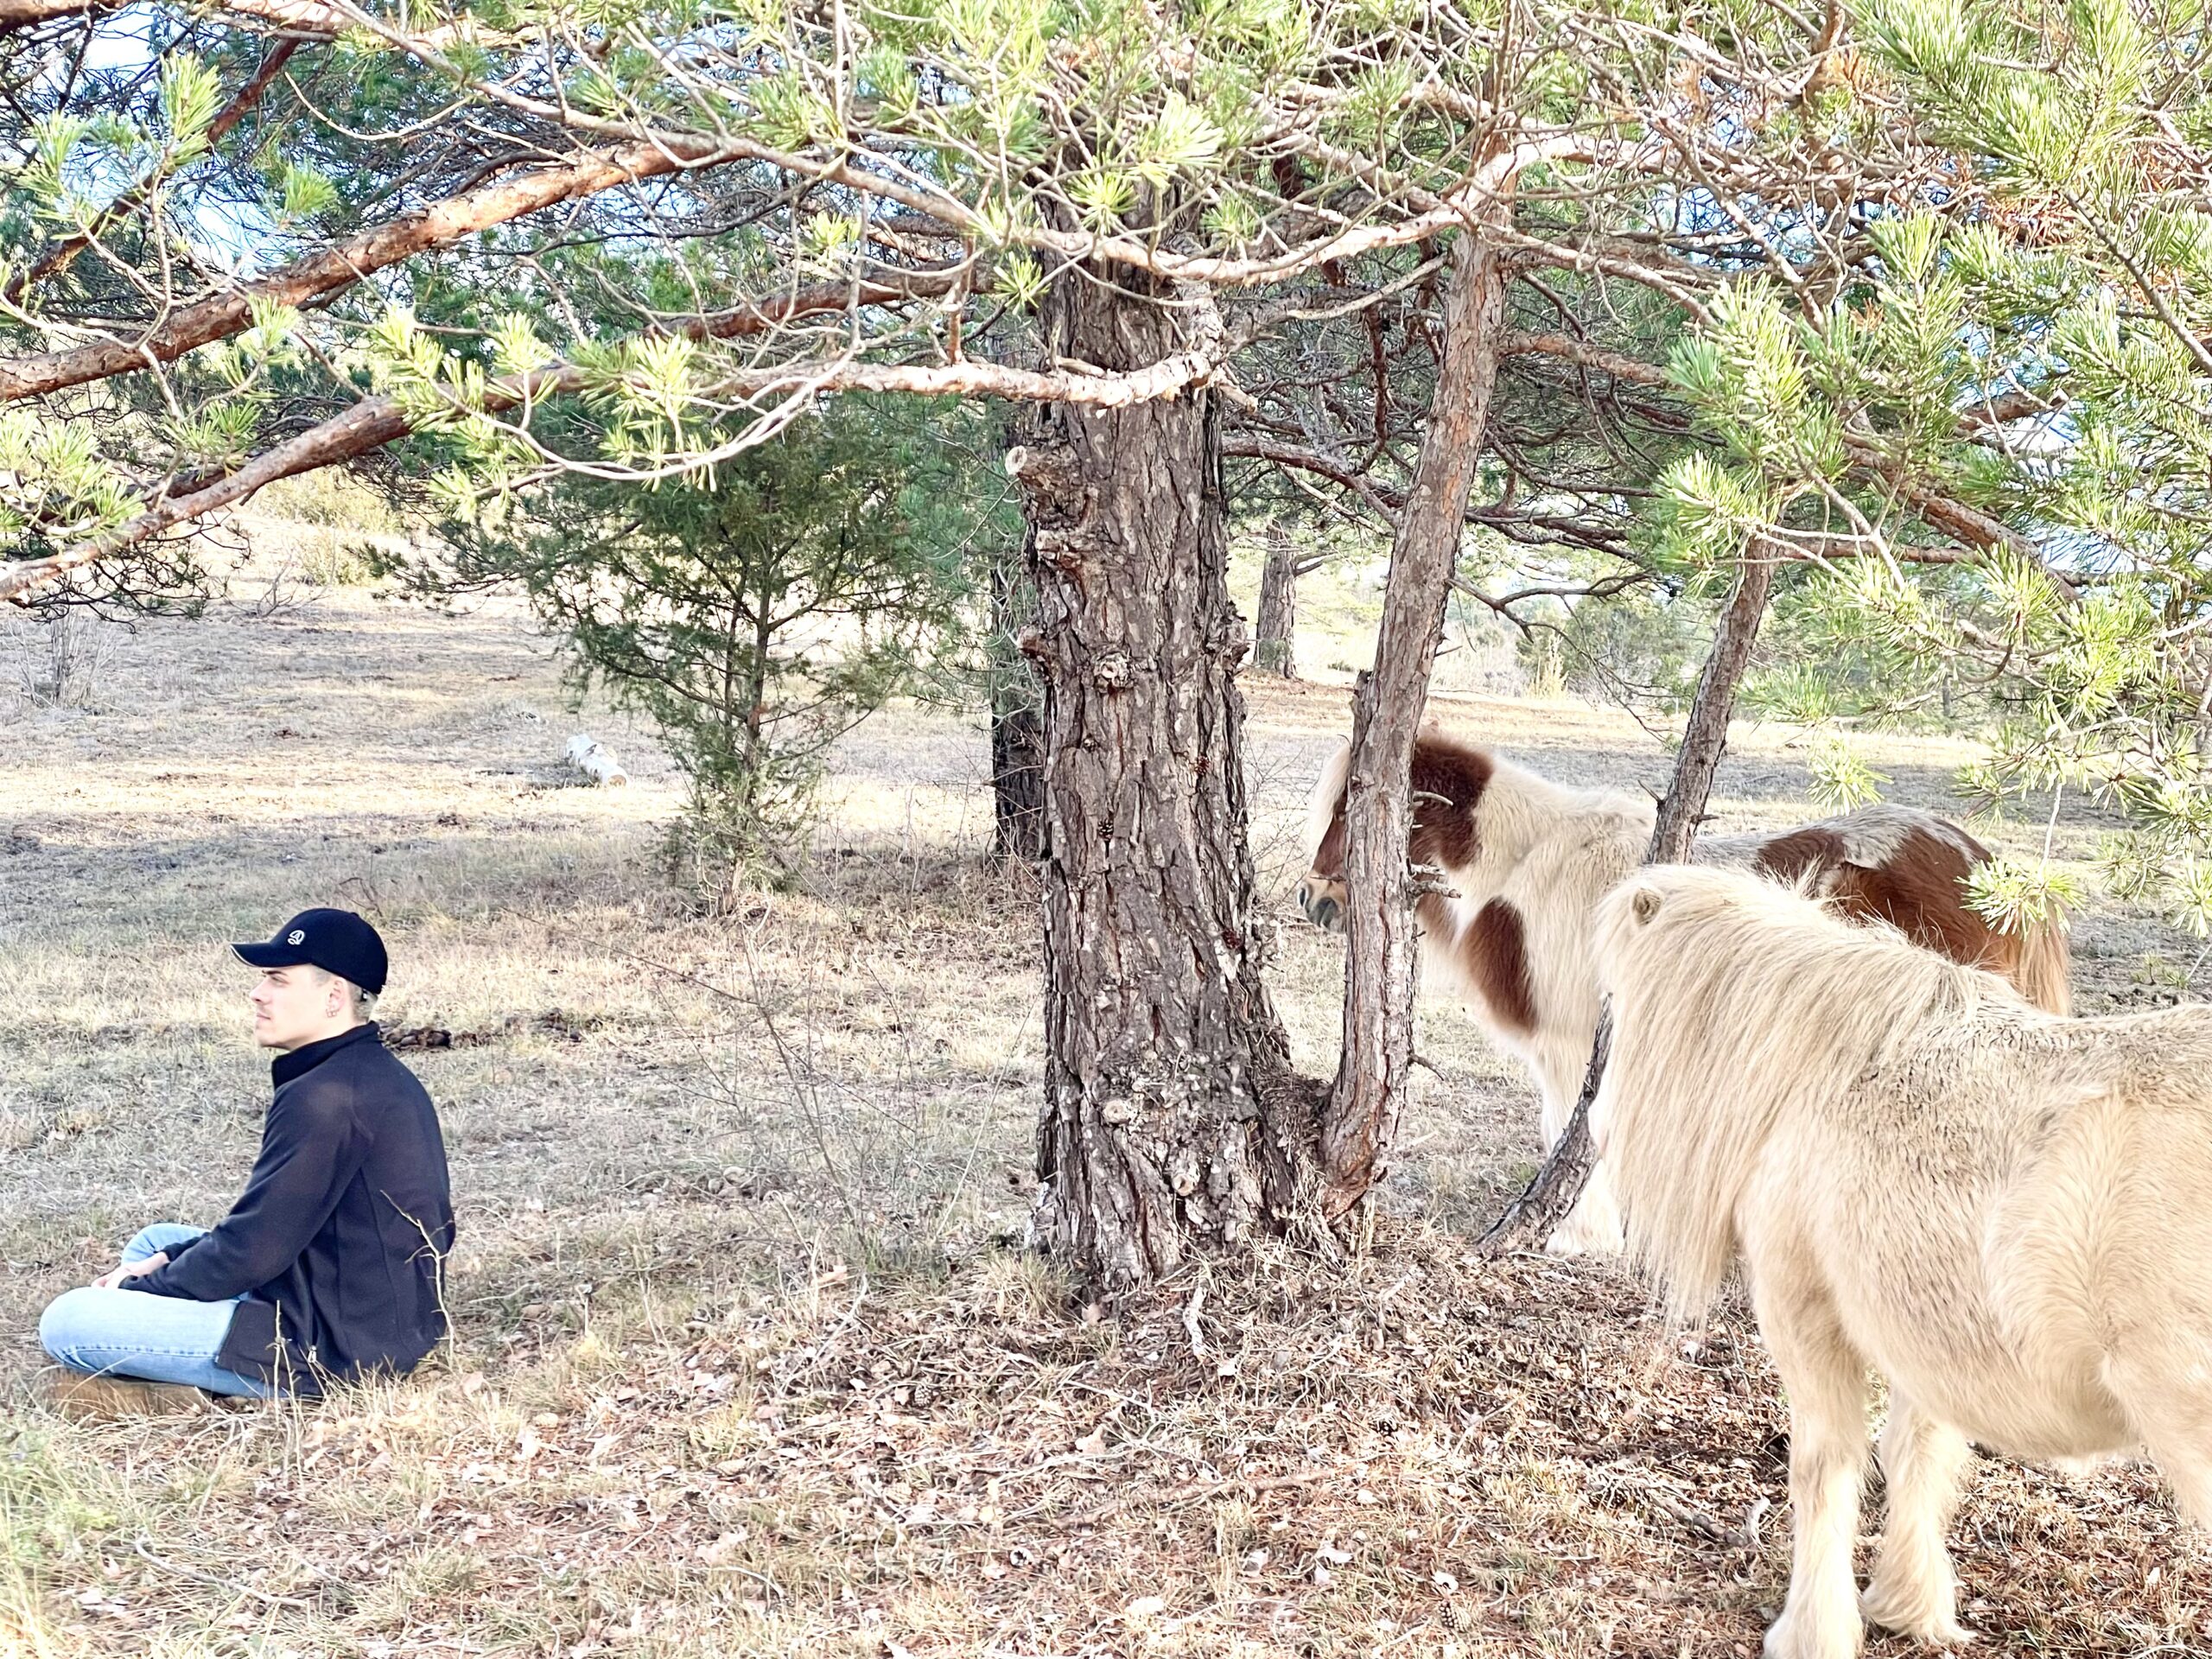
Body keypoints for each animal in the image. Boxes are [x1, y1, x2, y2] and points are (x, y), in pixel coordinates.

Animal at [1292, 734, 2070, 1256]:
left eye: (1351, 811)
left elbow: (1569, 1132)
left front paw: (1577, 1240)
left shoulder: (1571, 1048)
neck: (1525, 868)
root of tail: (2001, 877)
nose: (1314, 900)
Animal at [1592, 871, 2212, 1659]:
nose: (1592, 1129)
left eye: (1614, 1000)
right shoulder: (1929, 1336)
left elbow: (1826, 1467)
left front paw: (1812, 1631)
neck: (1832, 1070)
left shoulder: (1802, 1312)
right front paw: (1905, 1606)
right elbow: (1917, 1453)